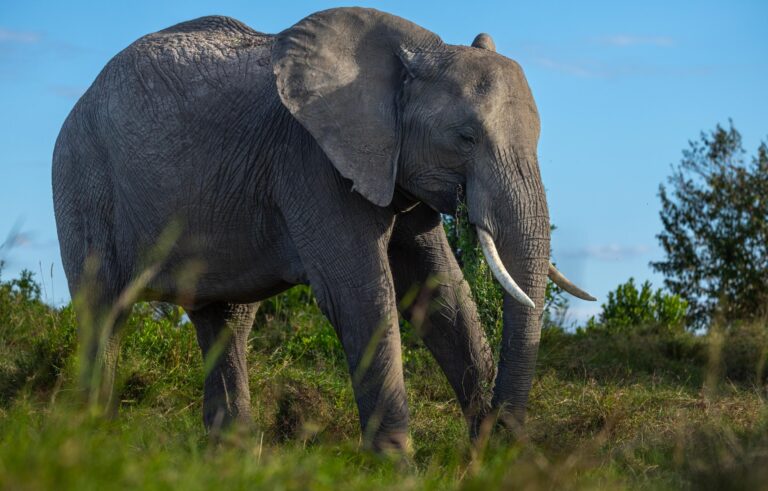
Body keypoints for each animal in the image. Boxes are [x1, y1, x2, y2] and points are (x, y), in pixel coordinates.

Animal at [52, 7, 594, 451]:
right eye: (465, 137)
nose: (501, 437)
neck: (408, 58)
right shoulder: (311, 161)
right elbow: (359, 295)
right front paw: (395, 468)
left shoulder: (392, 166)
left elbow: (440, 294)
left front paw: (491, 461)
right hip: (82, 177)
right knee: (104, 308)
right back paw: (93, 438)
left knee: (226, 319)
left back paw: (232, 456)